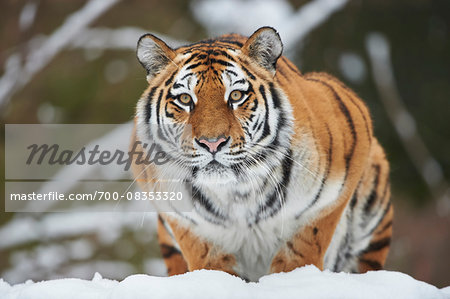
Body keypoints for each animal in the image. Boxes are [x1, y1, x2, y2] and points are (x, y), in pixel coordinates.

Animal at [131, 27, 394, 282]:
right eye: (185, 99)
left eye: (236, 96)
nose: (212, 143)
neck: (238, 192)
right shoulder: (189, 224)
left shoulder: (326, 201)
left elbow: (300, 252)